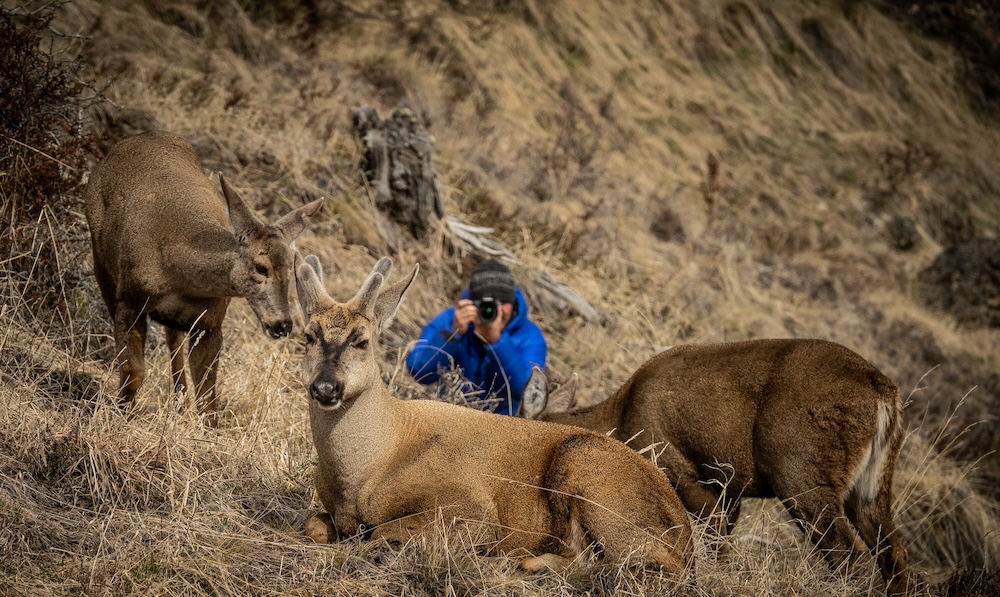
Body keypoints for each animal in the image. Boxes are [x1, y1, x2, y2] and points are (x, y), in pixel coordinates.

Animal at [85, 130, 324, 424]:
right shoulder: (129, 301)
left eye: (291, 269)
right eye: (261, 267)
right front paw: (121, 417)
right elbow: (133, 373)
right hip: (101, 264)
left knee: (173, 342)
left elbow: (208, 400)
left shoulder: (211, 323)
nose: (283, 324)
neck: (176, 271)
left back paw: (179, 403)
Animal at [296, 255, 696, 576]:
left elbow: (381, 532)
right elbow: (312, 524)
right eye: (308, 336)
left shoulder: (471, 507)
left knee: (640, 563)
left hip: (588, 467)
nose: (326, 387)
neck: (370, 466)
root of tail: (686, 535)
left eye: (361, 340)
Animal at [524, 338, 916, 592]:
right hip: (870, 484)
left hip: (799, 471)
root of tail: (883, 393)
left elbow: (715, 545)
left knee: (849, 556)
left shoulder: (680, 469)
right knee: (893, 553)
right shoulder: (731, 489)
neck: (619, 418)